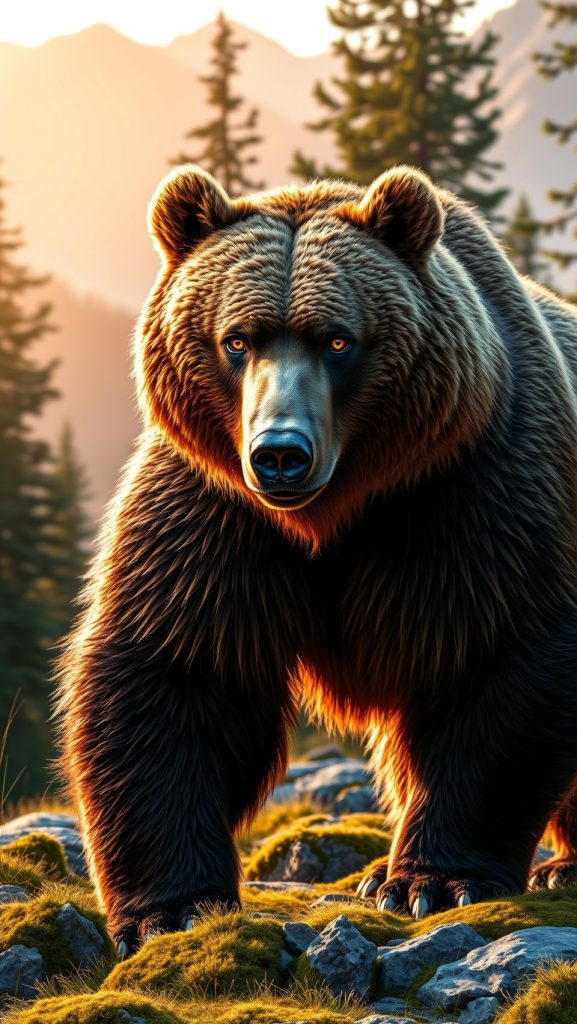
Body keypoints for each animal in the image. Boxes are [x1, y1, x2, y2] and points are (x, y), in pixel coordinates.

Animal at [56, 163, 577, 958]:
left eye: (337, 340)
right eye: (236, 340)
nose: (280, 453)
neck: (330, 515)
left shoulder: (471, 489)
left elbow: (495, 654)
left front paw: (432, 880)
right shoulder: (214, 516)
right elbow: (172, 673)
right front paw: (173, 908)